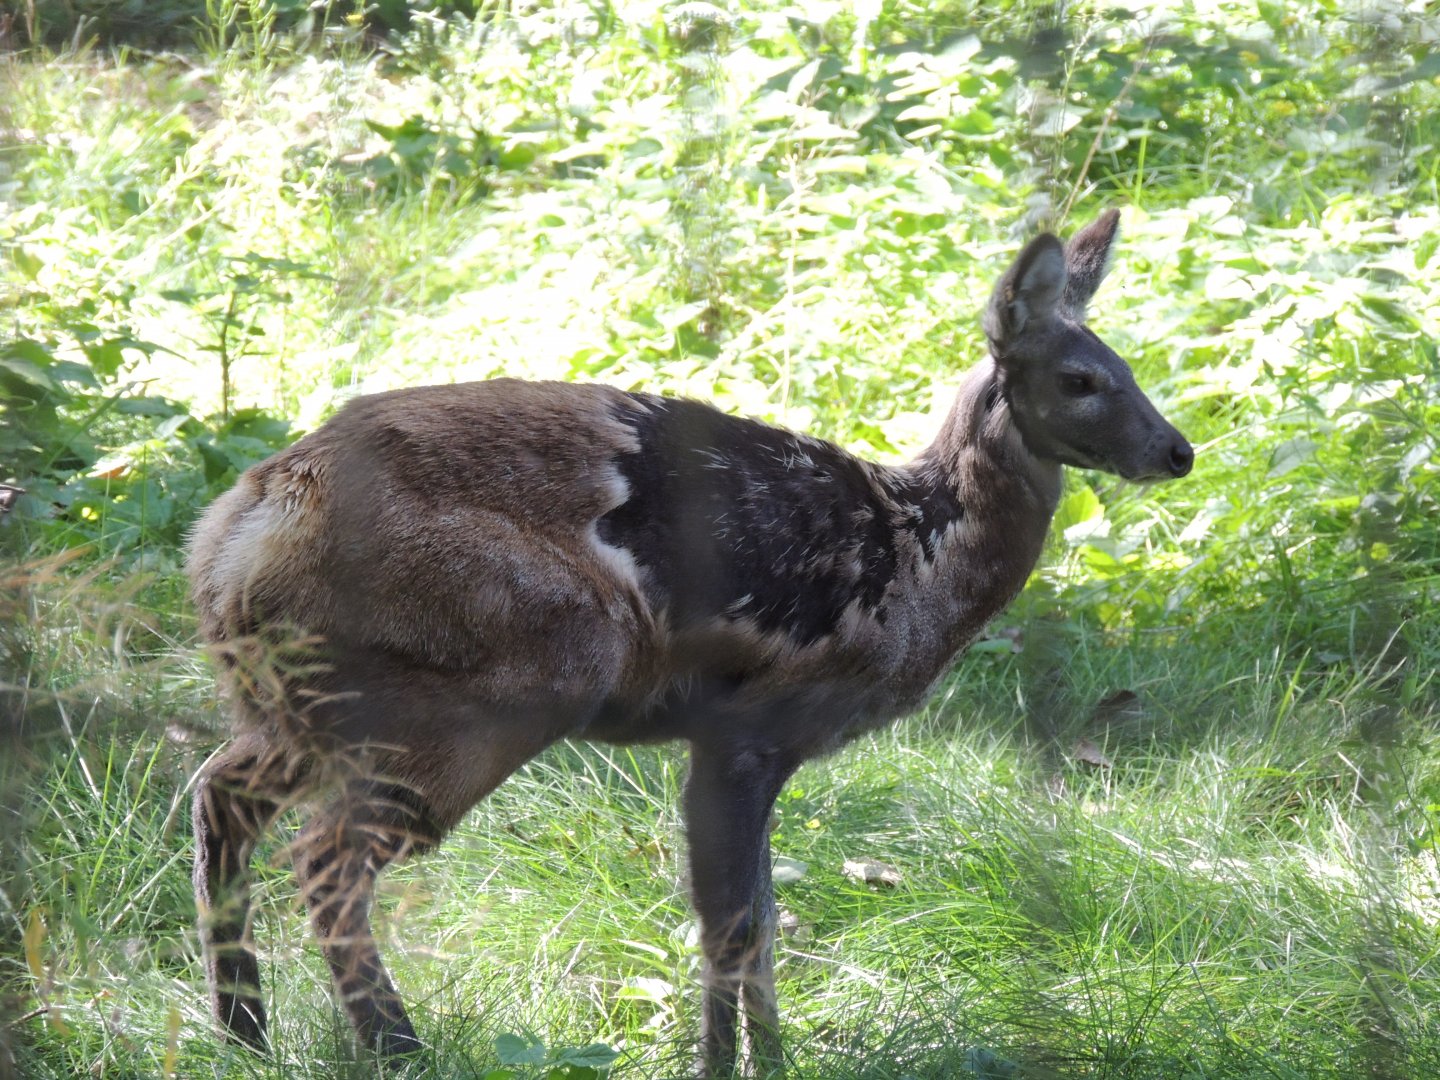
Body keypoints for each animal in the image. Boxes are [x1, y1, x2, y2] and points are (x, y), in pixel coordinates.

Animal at [188, 209, 1192, 1077]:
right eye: (1081, 380)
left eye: (1126, 365)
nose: (1178, 451)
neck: (916, 558)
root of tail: (246, 526)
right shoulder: (746, 727)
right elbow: (734, 925)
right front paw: (736, 1068)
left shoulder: (750, 745)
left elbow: (757, 917)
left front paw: (761, 1062)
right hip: (507, 678)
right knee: (324, 858)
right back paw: (397, 1047)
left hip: (299, 699)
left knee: (220, 794)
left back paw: (246, 1033)